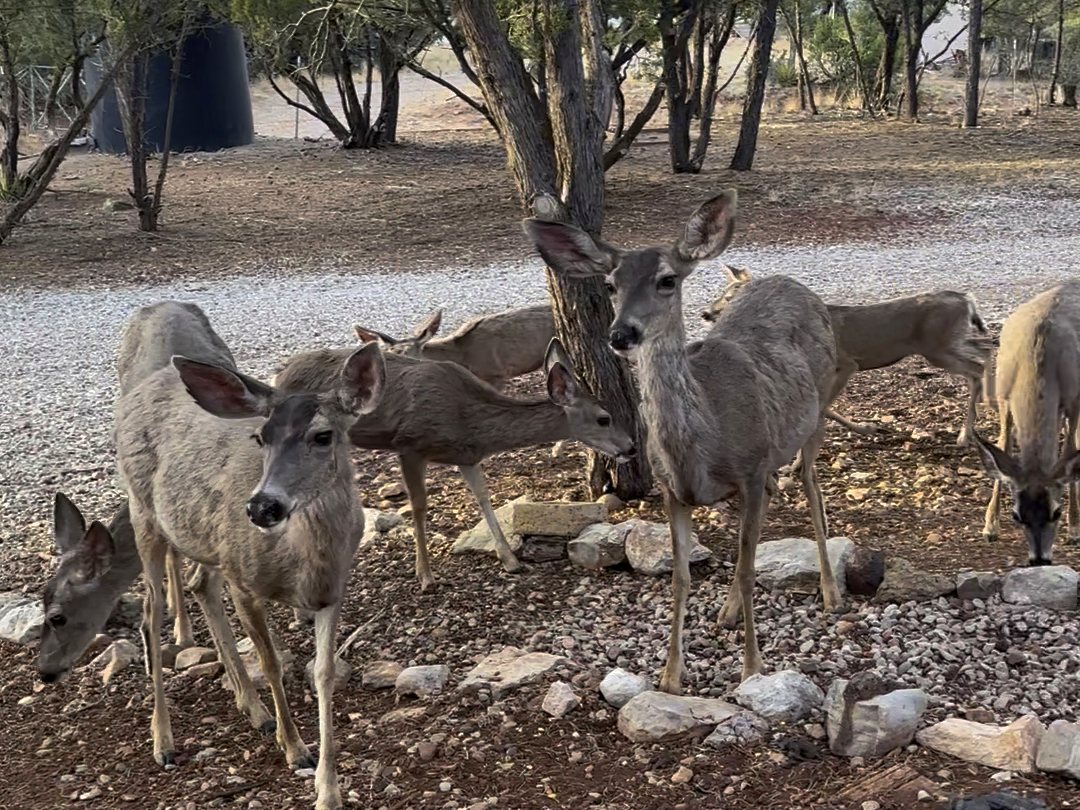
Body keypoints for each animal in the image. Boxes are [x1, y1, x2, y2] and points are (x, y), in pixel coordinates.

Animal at [114, 300, 385, 810]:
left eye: (323, 435)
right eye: (261, 438)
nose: (262, 507)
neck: (305, 562)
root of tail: (150, 381)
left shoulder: (332, 590)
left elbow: (324, 673)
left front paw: (328, 789)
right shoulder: (244, 580)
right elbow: (273, 661)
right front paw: (295, 748)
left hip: (208, 539)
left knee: (199, 584)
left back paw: (252, 709)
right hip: (144, 512)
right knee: (150, 614)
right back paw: (163, 741)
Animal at [272, 336, 635, 593]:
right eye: (604, 418)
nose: (630, 447)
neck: (470, 420)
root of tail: (281, 374)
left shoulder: (466, 455)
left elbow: (484, 498)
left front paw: (510, 560)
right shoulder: (410, 445)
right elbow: (419, 506)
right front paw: (425, 575)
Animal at [524, 189, 842, 691]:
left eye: (667, 279)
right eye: (610, 284)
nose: (621, 333)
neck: (703, 447)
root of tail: (793, 284)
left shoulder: (751, 469)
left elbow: (748, 570)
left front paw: (753, 669)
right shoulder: (674, 490)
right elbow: (681, 578)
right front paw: (670, 675)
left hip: (819, 408)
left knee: (812, 487)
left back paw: (830, 593)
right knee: (778, 496)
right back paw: (727, 613)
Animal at [703, 266, 992, 445]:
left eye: (729, 297)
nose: (706, 313)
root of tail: (966, 298)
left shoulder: (846, 363)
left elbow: (824, 407)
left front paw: (866, 428)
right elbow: (823, 408)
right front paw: (868, 428)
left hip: (937, 348)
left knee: (976, 367)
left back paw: (965, 434)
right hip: (949, 342)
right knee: (986, 350)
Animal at [974, 281, 1080, 566]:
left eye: (1056, 512)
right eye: (1016, 515)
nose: (1039, 559)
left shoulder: (1074, 398)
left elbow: (1068, 453)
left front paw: (1074, 528)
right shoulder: (1003, 395)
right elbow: (1003, 446)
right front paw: (990, 525)